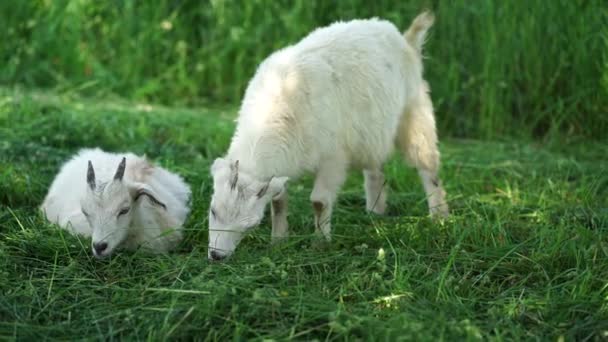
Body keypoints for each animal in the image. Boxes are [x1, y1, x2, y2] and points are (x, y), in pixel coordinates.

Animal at [207, 12, 448, 260]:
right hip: (372, 131)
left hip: (415, 113)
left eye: (250, 225)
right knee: (375, 168)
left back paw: (439, 217)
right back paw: (375, 212)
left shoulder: (333, 158)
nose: (216, 256)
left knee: (428, 166)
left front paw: (320, 244)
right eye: (213, 211)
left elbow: (319, 201)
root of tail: (406, 41)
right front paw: (278, 242)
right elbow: (279, 201)